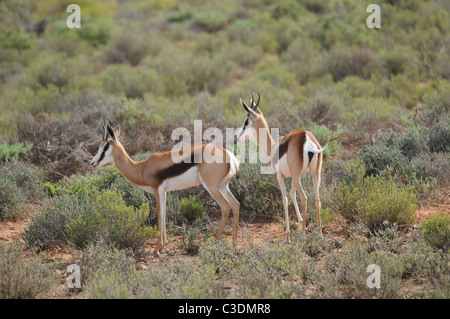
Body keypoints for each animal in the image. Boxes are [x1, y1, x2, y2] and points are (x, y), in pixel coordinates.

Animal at [89, 120, 241, 255]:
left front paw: (157, 249)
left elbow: (159, 213)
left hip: (212, 187)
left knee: (225, 206)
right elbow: (164, 212)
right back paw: (234, 243)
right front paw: (164, 245)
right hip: (223, 185)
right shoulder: (165, 192)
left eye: (105, 147)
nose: (92, 163)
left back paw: (215, 240)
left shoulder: (157, 189)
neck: (142, 168)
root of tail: (228, 155)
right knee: (235, 203)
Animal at [236, 92, 342, 242]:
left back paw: (303, 235)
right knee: (317, 199)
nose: (235, 136)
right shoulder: (295, 176)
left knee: (304, 198)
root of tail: (306, 138)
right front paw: (301, 222)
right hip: (315, 174)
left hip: (299, 177)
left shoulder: (280, 176)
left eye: (246, 122)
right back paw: (320, 233)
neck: (273, 147)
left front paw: (288, 235)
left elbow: (285, 200)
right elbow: (292, 194)